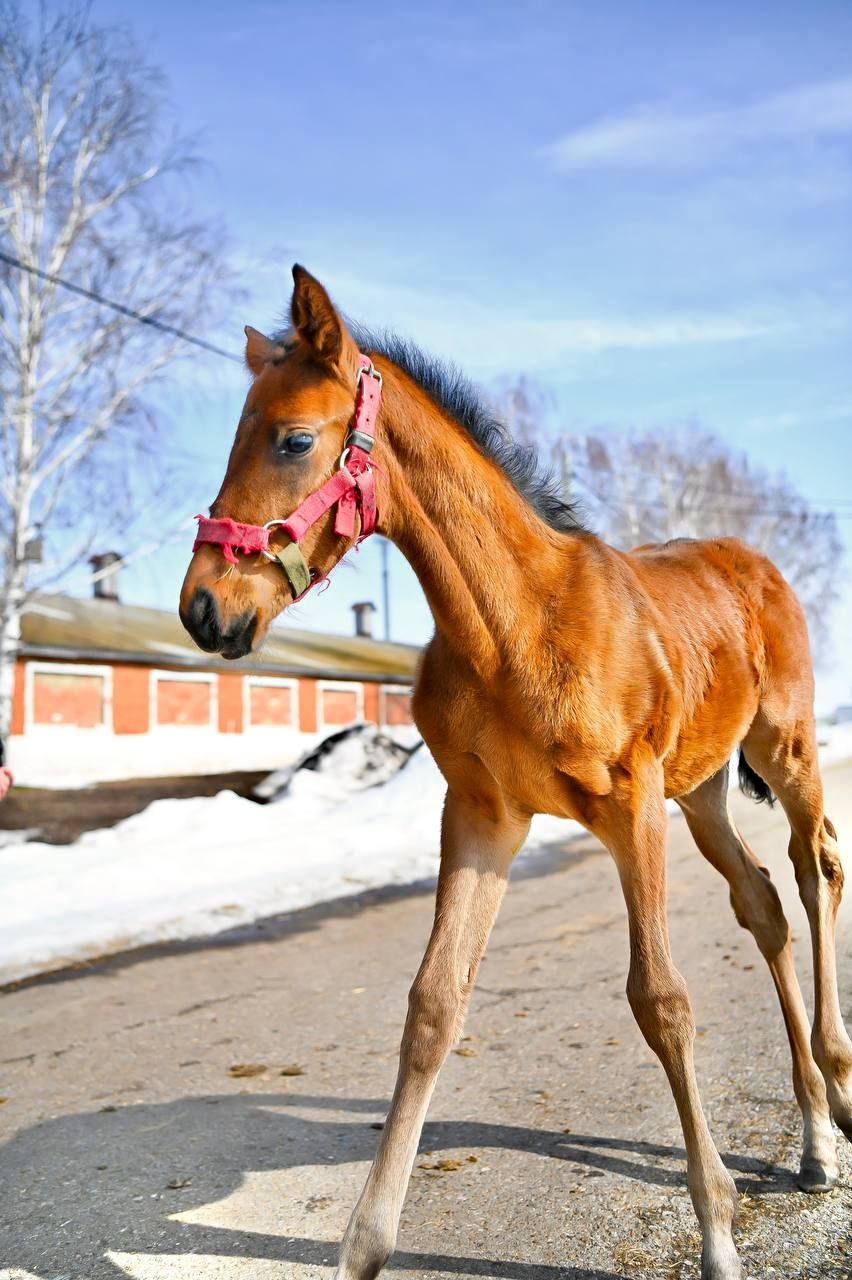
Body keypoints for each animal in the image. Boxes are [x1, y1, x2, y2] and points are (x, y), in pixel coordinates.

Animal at [180, 267, 849, 1280]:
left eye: (294, 439)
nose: (204, 610)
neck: (515, 626)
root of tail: (753, 561)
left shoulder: (631, 807)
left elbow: (661, 1000)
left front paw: (720, 1234)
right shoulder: (483, 815)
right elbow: (432, 1005)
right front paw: (363, 1245)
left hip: (784, 751)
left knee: (817, 873)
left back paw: (836, 1101)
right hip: (701, 793)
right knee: (763, 902)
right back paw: (810, 1134)